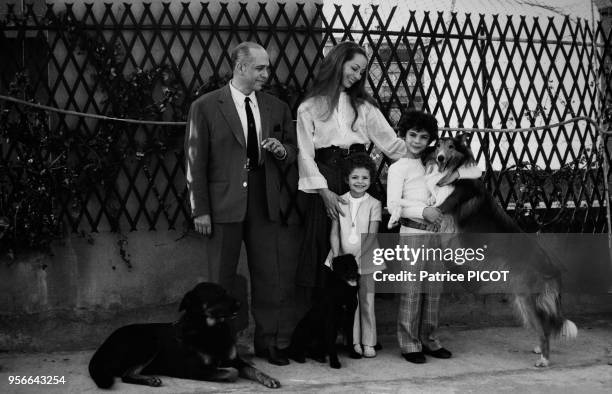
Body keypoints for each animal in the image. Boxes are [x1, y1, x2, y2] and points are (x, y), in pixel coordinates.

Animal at [88, 284, 280, 388]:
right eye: (218, 294)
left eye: (226, 291)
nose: (240, 304)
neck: (211, 329)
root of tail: (103, 347)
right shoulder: (194, 369)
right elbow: (232, 372)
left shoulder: (235, 360)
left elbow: (253, 369)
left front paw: (269, 378)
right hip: (149, 343)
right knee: (126, 375)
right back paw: (150, 379)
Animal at [428, 135, 576, 366]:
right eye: (438, 146)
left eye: (451, 146)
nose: (440, 157)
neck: (454, 174)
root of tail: (551, 266)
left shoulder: (444, 214)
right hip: (523, 298)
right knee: (544, 327)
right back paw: (539, 350)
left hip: (526, 297)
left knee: (544, 328)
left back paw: (544, 359)